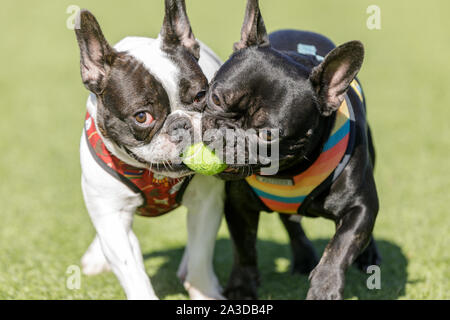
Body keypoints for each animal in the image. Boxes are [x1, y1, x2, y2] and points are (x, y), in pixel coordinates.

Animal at [76, 0, 229, 300]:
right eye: (142, 116)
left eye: (201, 96)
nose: (181, 124)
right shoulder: (113, 218)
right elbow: (132, 270)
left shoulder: (207, 203)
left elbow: (201, 255)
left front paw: (204, 292)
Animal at [202, 0, 382, 300]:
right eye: (215, 98)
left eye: (267, 135)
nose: (228, 133)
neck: (288, 170)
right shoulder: (238, 207)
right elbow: (245, 249)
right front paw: (241, 288)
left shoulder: (359, 207)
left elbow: (340, 248)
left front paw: (325, 287)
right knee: (291, 222)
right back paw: (303, 257)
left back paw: (368, 257)